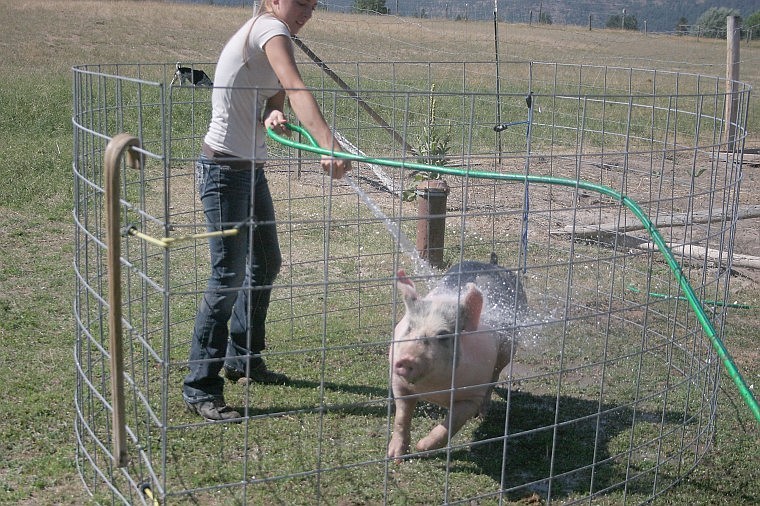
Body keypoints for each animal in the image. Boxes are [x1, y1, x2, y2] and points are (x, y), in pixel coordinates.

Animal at [388, 268, 512, 458]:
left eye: (443, 335)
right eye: (410, 328)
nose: (406, 359)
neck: (434, 390)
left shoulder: (472, 395)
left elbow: (453, 423)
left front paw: (422, 448)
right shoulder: (399, 384)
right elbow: (401, 417)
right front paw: (395, 457)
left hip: (506, 352)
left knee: (494, 378)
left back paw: (482, 415)